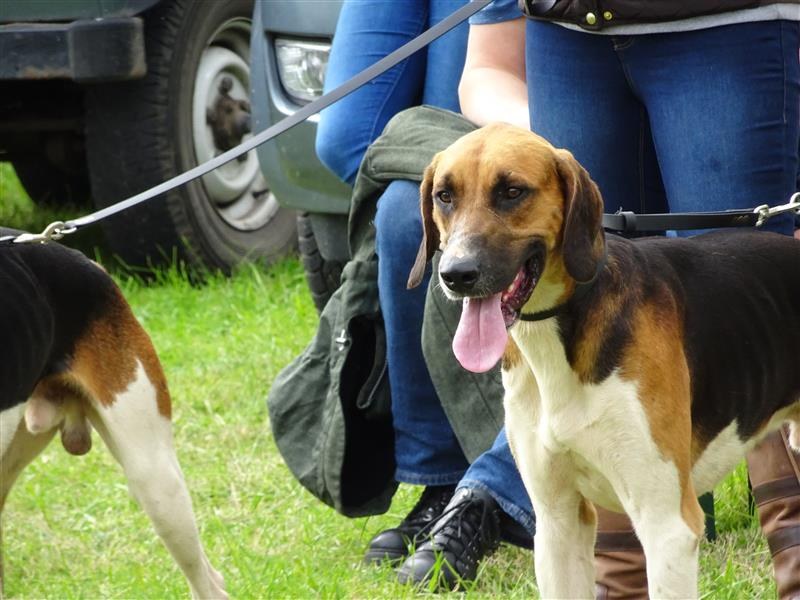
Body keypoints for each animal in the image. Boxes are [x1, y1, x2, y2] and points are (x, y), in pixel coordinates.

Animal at [407, 123, 800, 598]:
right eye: (444, 196)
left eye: (512, 191)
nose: (456, 274)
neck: (557, 339)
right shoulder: (557, 524)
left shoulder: (667, 527)